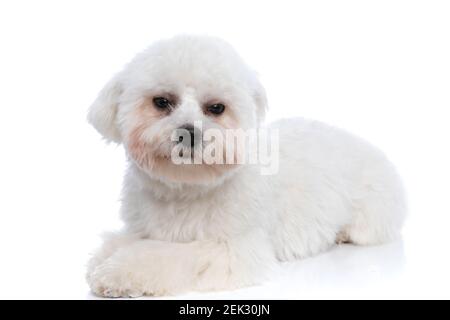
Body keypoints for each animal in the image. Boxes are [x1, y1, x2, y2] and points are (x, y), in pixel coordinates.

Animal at [86, 35, 406, 298]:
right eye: (162, 102)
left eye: (216, 108)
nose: (189, 132)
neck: (188, 186)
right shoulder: (142, 225)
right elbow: (122, 241)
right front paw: (106, 257)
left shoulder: (232, 249)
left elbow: (165, 254)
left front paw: (119, 272)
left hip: (372, 216)